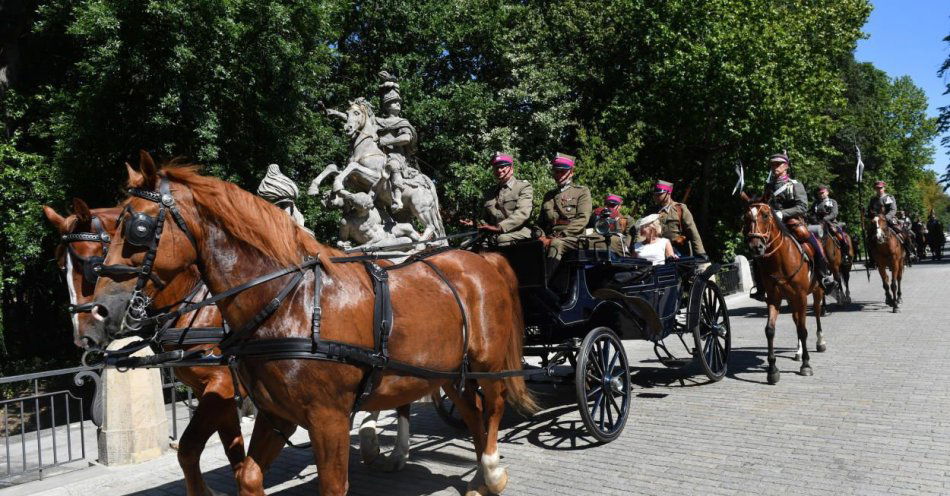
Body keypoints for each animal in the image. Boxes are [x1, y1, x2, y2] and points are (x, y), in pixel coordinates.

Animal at [44, 199, 245, 496]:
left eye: (93, 267)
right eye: (61, 268)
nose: (83, 336)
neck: (198, 306)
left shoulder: (222, 383)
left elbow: (189, 448)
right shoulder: (217, 392)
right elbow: (231, 452)